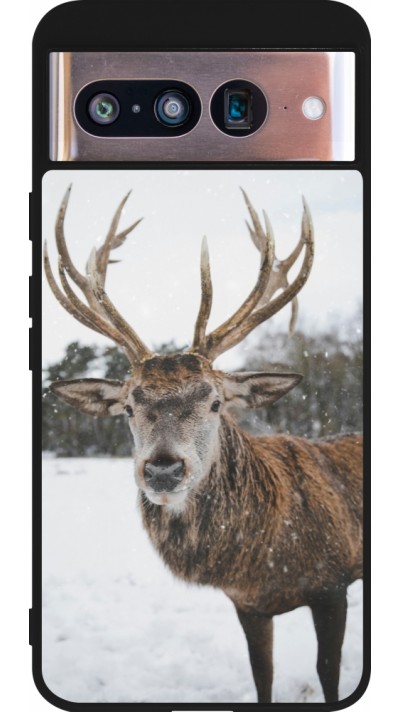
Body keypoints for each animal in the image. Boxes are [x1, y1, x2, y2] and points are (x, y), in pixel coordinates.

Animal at [44, 187, 363, 703]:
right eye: (128, 407)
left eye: (215, 402)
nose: (163, 470)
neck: (265, 559)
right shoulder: (248, 604)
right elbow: (262, 675)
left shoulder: (333, 583)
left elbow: (328, 673)